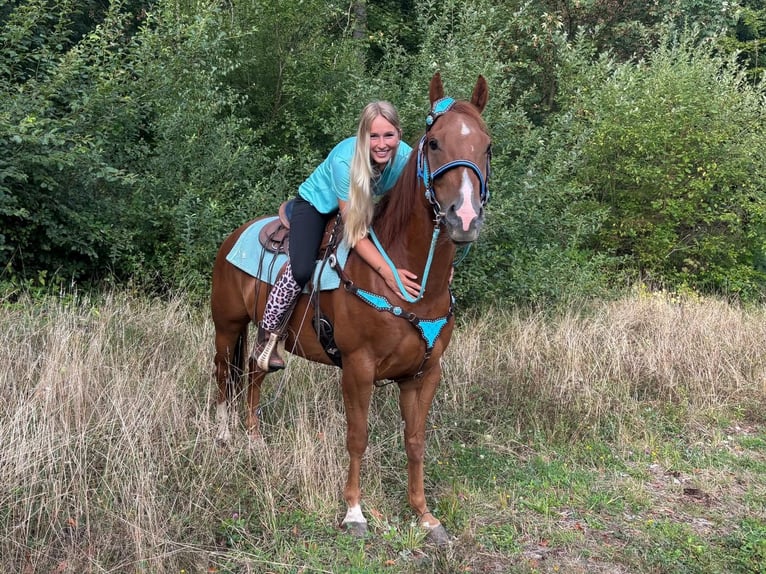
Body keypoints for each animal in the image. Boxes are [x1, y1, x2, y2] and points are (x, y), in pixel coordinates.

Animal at [210, 72, 490, 544]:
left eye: (487, 145)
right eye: (434, 143)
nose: (464, 218)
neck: (407, 280)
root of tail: (236, 235)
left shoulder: (425, 373)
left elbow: (416, 441)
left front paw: (424, 516)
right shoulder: (358, 368)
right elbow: (357, 437)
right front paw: (355, 512)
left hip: (258, 337)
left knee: (253, 370)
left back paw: (254, 440)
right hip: (226, 327)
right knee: (222, 377)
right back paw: (223, 436)